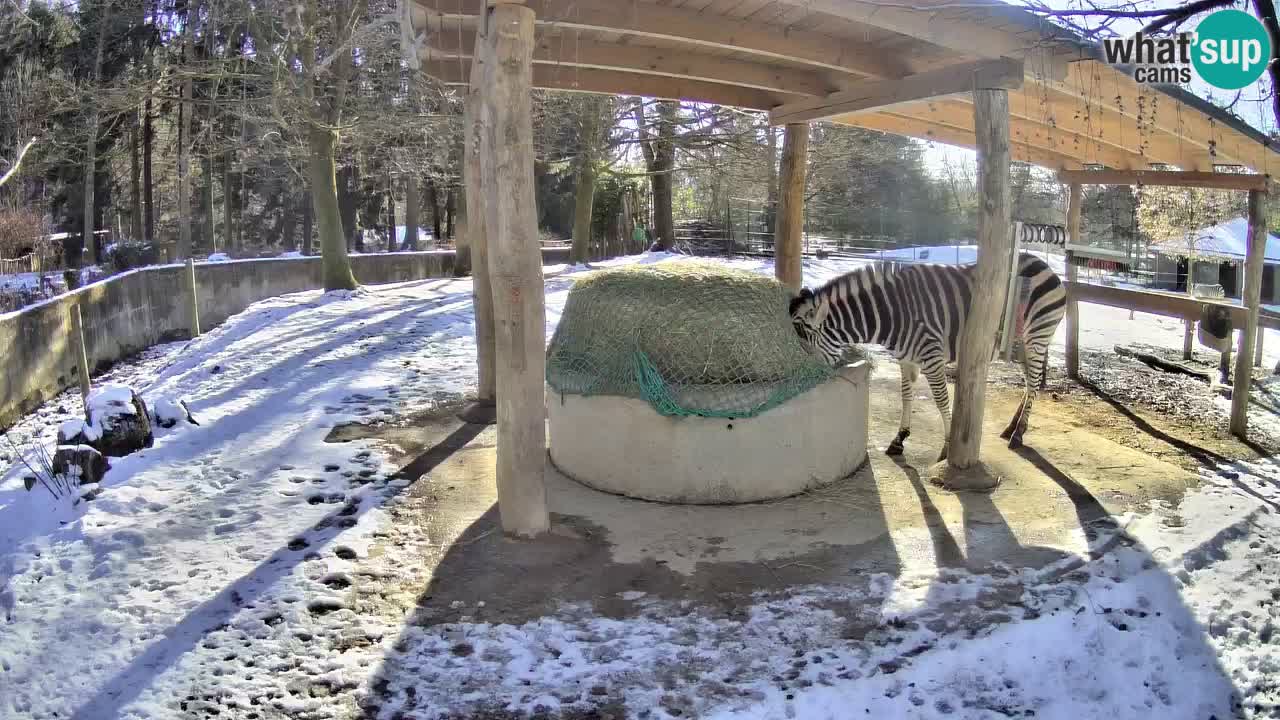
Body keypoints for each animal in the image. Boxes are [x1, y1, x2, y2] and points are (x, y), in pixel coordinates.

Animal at [788, 249, 1070, 456]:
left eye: (806, 344)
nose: (800, 384)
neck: (891, 314)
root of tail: (1042, 262)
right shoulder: (905, 358)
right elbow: (905, 396)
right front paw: (899, 438)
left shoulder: (931, 357)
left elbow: (941, 400)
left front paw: (947, 447)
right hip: (1021, 343)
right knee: (1029, 382)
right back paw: (1012, 427)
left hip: (1037, 337)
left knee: (1034, 383)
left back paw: (1018, 433)